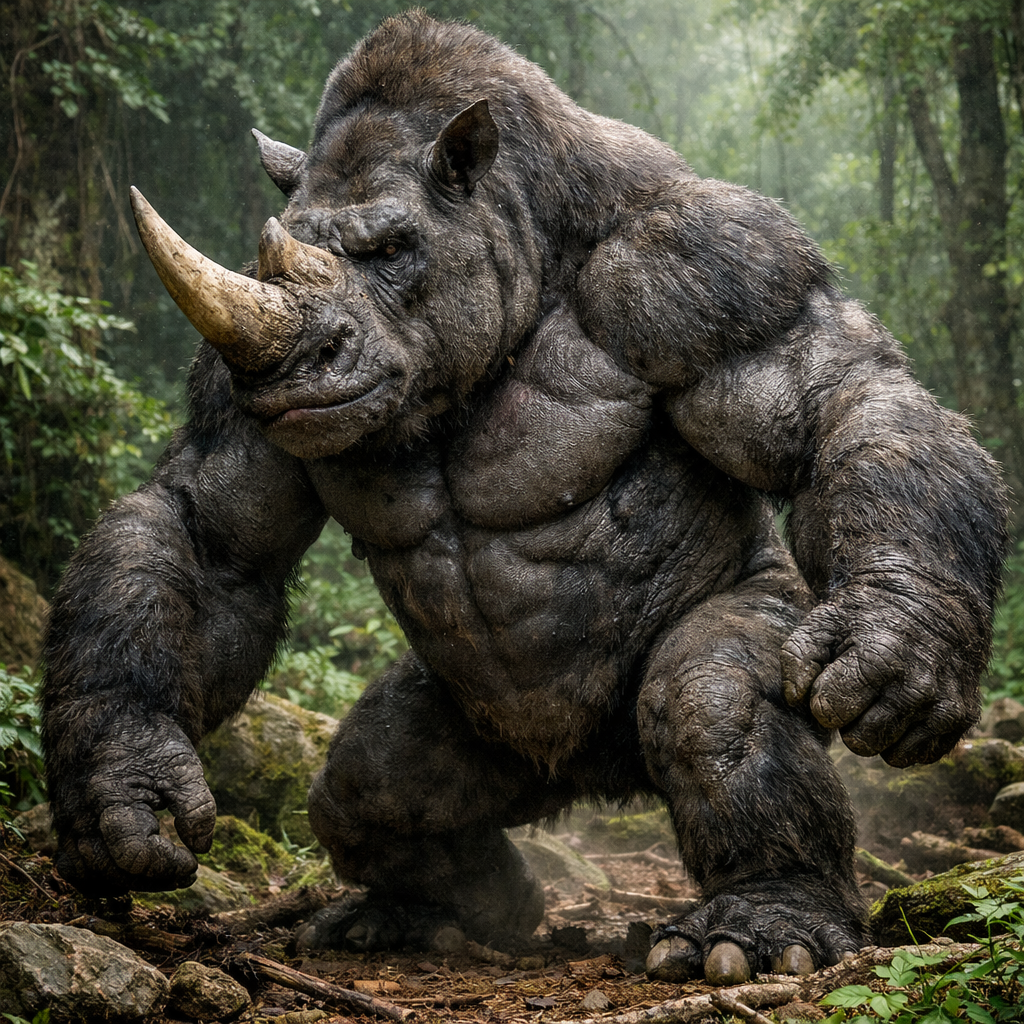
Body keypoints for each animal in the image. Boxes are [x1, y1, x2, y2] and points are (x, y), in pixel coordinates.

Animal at [42, 12, 1007, 985]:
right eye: (296, 251)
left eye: (391, 250)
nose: (290, 365)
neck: (527, 241)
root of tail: (595, 780)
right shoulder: (227, 366)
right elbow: (209, 537)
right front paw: (123, 793)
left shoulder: (714, 269)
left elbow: (838, 402)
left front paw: (897, 650)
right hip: (502, 739)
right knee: (369, 783)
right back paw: (440, 915)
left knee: (708, 699)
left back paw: (763, 929)